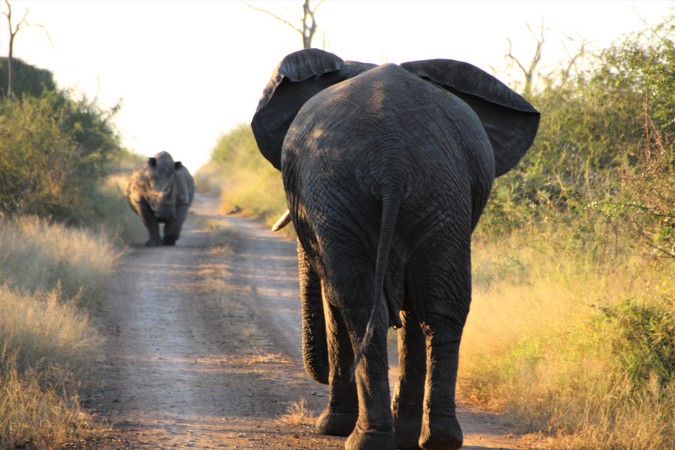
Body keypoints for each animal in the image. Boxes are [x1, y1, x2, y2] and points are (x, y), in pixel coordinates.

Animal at [251, 49, 540, 450]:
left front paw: (332, 426)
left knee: (357, 307)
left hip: (343, 191)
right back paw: (438, 438)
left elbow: (339, 302)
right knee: (441, 308)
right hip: (440, 189)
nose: (319, 374)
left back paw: (362, 437)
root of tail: (393, 159)